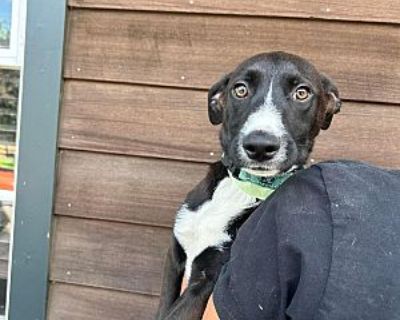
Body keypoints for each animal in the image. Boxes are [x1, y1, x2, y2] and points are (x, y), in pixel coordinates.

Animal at [155, 51, 342, 318]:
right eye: (240, 90)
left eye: (302, 93)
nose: (260, 146)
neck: (243, 187)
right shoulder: (174, 259)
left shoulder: (209, 279)